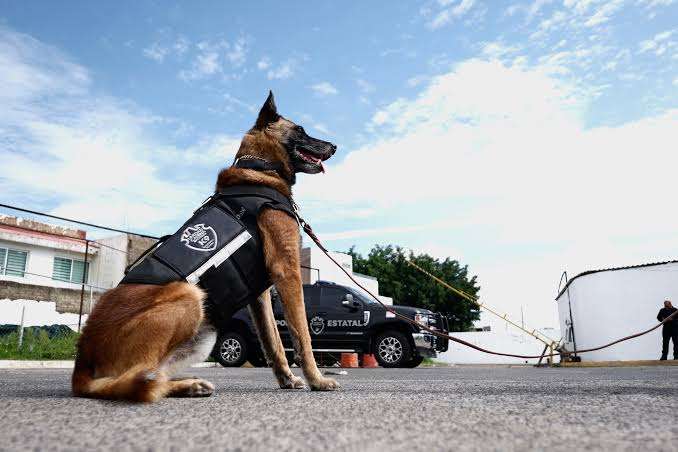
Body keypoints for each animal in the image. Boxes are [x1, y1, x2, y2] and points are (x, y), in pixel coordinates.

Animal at [72, 92, 339, 402]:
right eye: (300, 130)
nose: (334, 146)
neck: (259, 170)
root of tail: (82, 360)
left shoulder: (259, 295)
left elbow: (272, 341)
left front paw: (287, 379)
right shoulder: (288, 272)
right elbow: (302, 335)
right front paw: (317, 380)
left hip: (204, 331)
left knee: (147, 376)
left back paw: (188, 384)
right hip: (190, 296)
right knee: (138, 381)